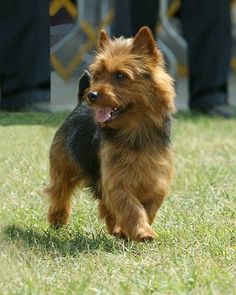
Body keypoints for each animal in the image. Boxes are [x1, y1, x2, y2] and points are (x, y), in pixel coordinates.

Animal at [45, 26, 175, 242]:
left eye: (120, 76)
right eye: (98, 75)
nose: (92, 95)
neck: (134, 133)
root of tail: (80, 104)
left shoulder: (155, 180)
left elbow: (148, 207)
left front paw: (134, 229)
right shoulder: (117, 181)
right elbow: (131, 207)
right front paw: (142, 231)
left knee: (104, 205)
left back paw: (116, 229)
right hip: (63, 165)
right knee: (60, 190)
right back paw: (58, 218)